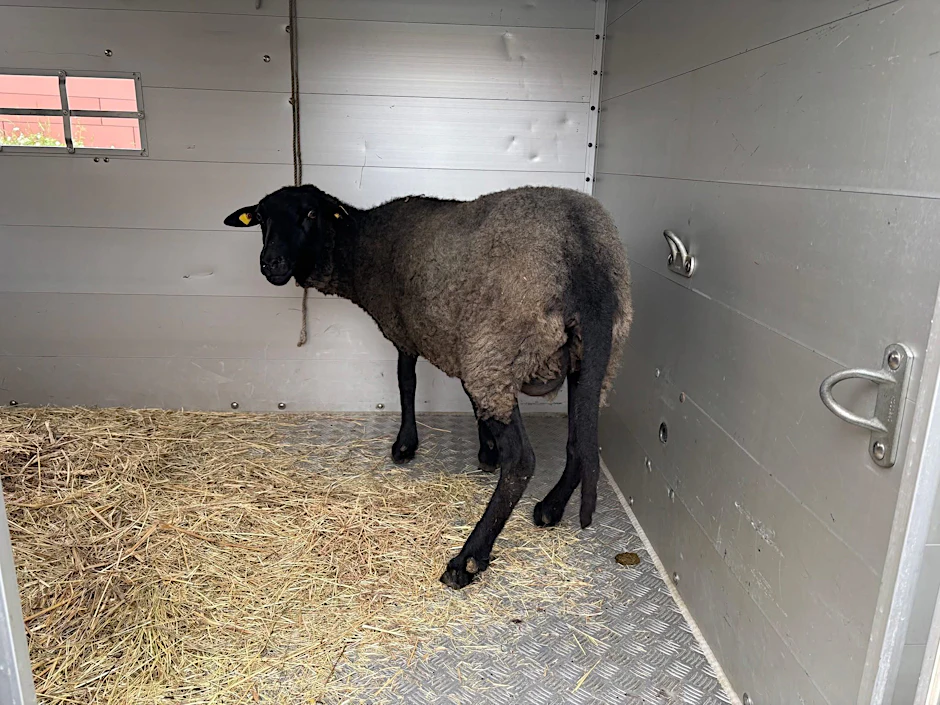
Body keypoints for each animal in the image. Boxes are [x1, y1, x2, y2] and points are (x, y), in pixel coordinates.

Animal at [224, 184, 632, 589]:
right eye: (260, 217)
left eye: (310, 213)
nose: (271, 263)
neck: (361, 244)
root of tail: (582, 252)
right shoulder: (461, 343)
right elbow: (470, 401)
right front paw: (486, 451)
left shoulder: (410, 332)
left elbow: (407, 383)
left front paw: (405, 445)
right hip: (589, 358)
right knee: (580, 439)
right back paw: (551, 507)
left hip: (500, 348)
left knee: (522, 461)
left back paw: (468, 559)